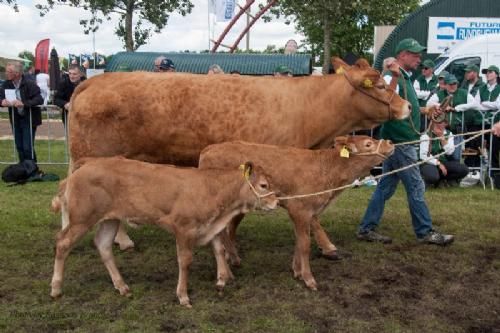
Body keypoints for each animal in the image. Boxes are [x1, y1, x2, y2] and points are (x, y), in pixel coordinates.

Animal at [50, 157, 278, 308]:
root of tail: (82, 168)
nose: (276, 202)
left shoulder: (210, 225)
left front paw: (221, 280)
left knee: (104, 245)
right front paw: (183, 296)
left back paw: (122, 286)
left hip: (110, 219)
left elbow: (219, 250)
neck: (210, 189)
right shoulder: (183, 228)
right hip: (81, 219)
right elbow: (185, 261)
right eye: (263, 185)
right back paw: (56, 289)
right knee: (62, 243)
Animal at [66, 57, 410, 249]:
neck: (308, 107)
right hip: (93, 160)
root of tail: (94, 81)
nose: (407, 106)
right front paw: (327, 246)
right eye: (381, 85)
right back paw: (122, 240)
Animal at [199, 136, 394, 290]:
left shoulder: (308, 213)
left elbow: (299, 242)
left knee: (227, 230)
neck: (326, 169)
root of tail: (209, 149)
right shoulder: (299, 209)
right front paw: (309, 279)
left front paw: (297, 271)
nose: (390, 142)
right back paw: (227, 271)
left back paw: (233, 259)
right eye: (368, 143)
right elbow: (305, 244)